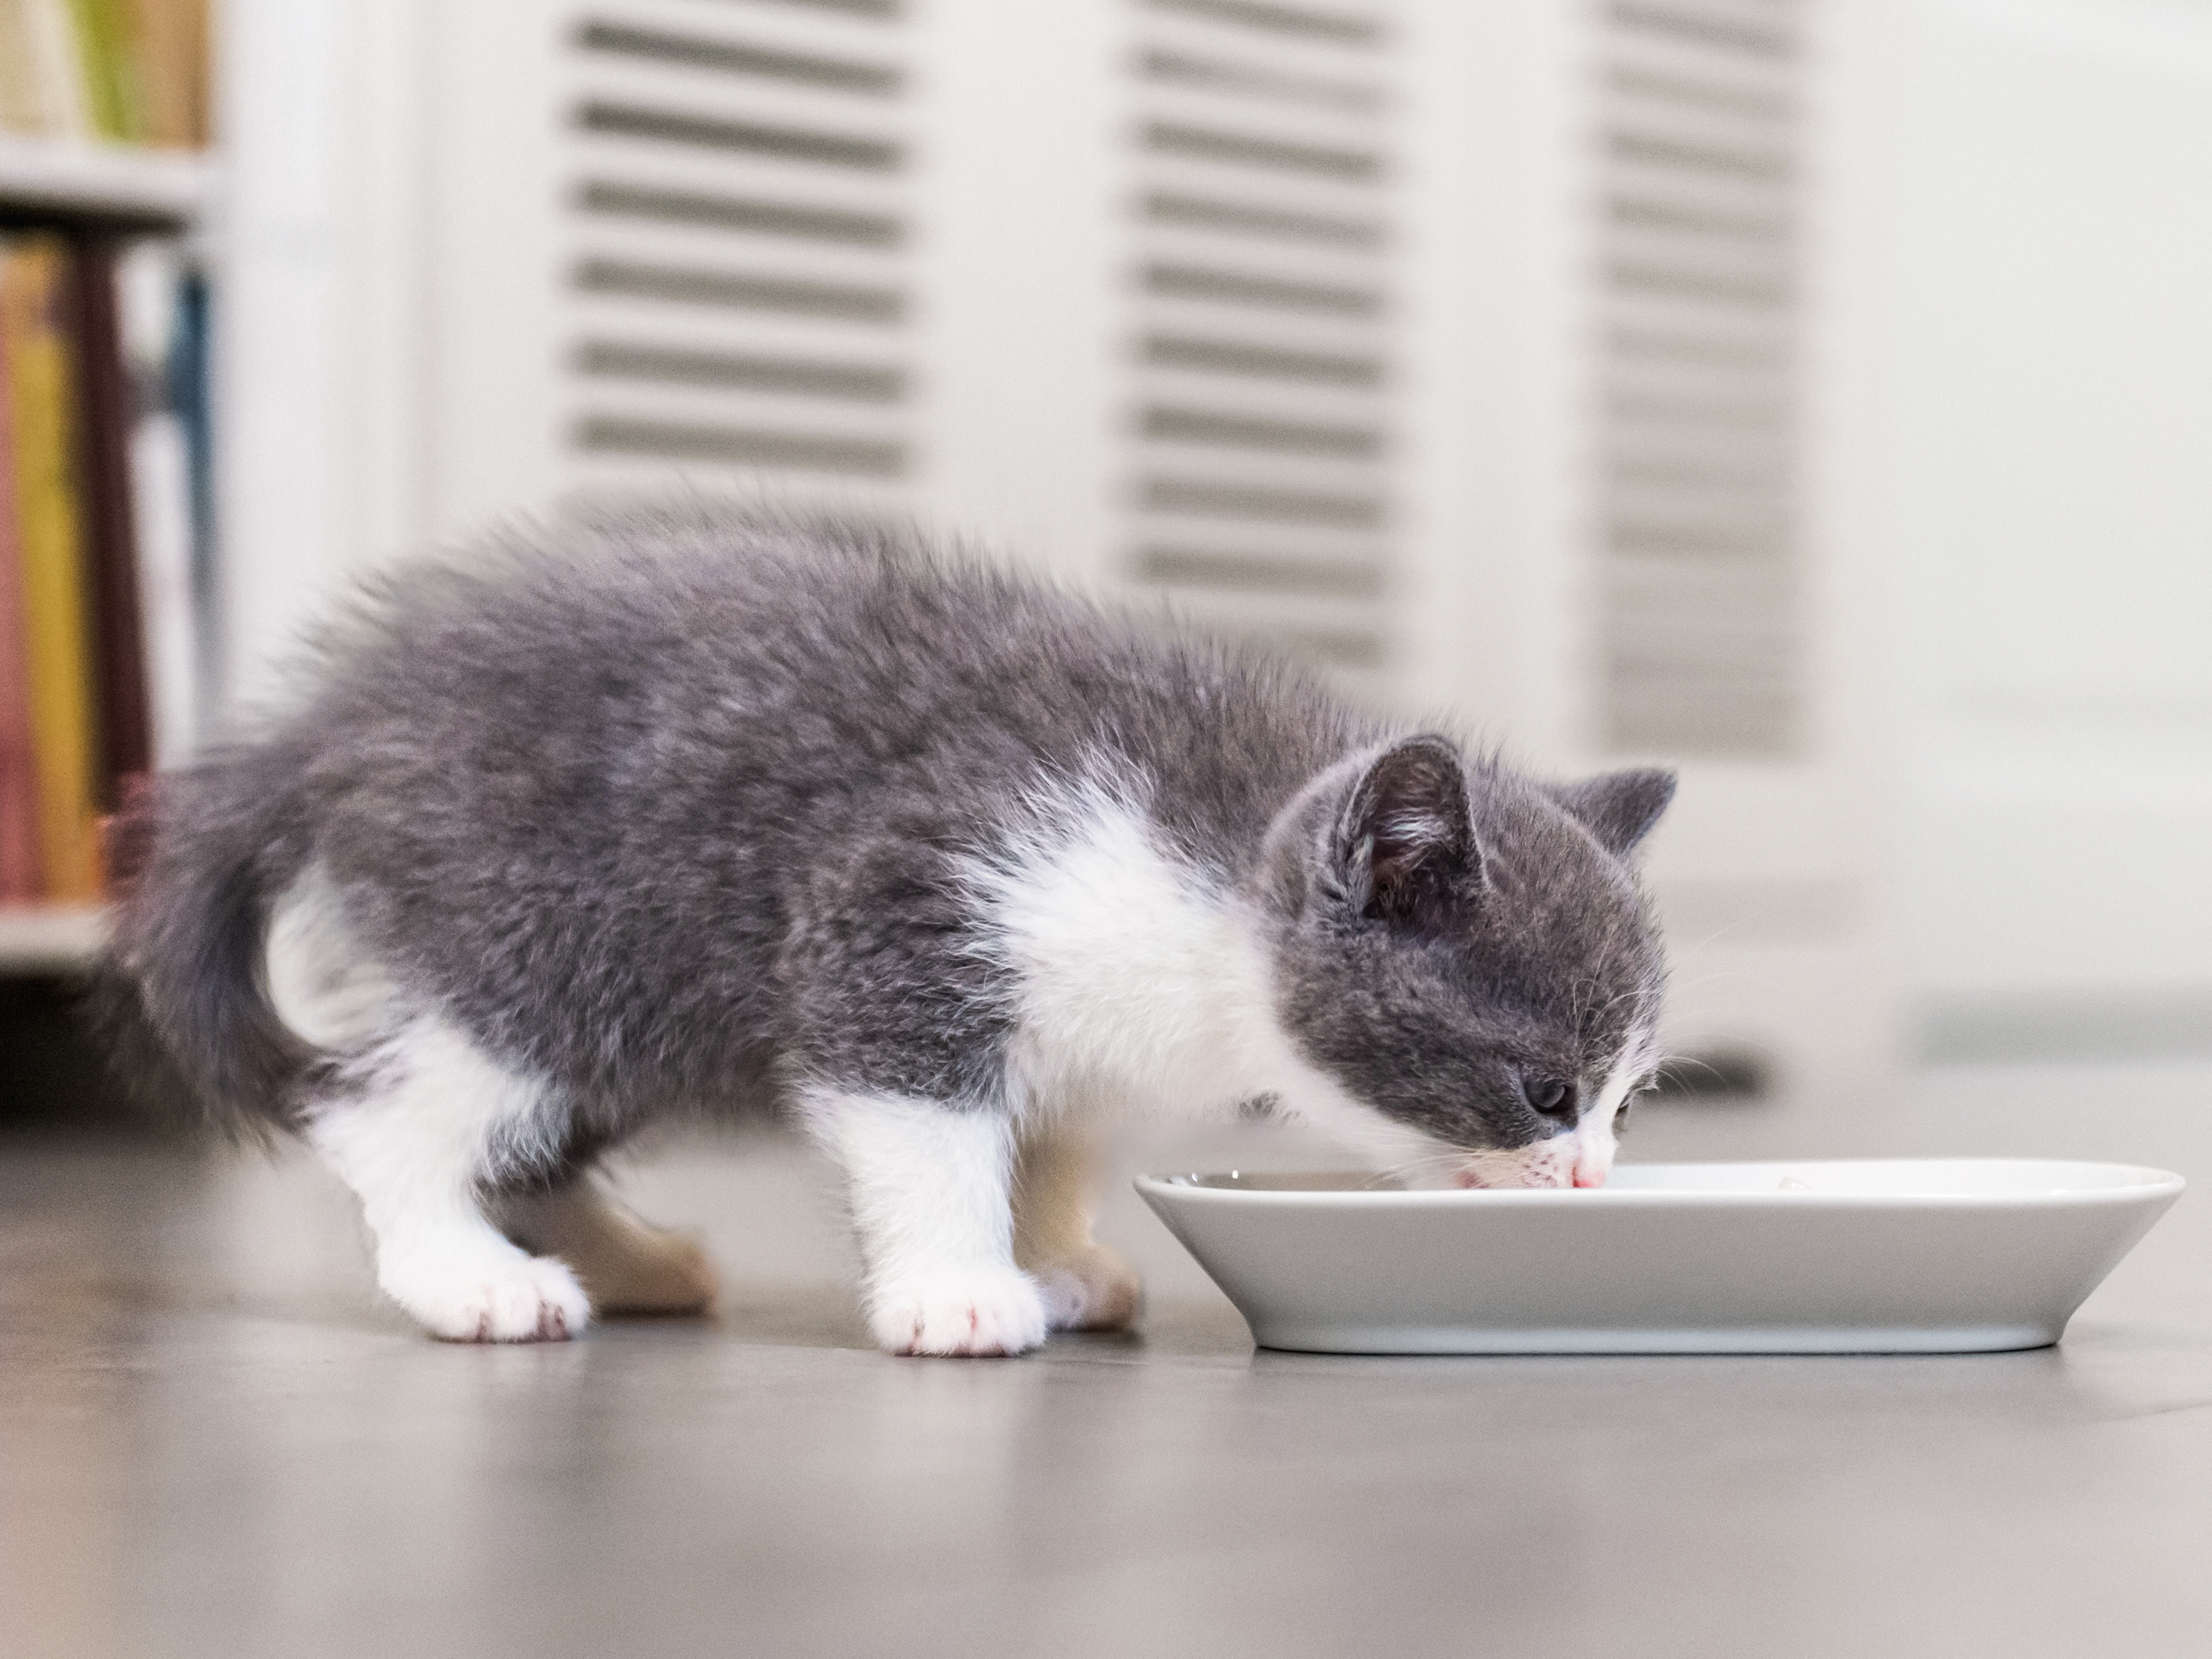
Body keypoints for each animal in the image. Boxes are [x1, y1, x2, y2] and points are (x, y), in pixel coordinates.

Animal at [112, 513, 1663, 1354]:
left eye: (1628, 1102)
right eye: (1545, 1088)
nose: (1592, 1177)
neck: (1218, 879)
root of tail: (331, 729)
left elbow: (1051, 1133)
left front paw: (1056, 1253)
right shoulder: (906, 910)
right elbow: (928, 1125)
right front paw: (961, 1293)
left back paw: (630, 1263)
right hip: (553, 925)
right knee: (385, 1102)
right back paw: (467, 1278)